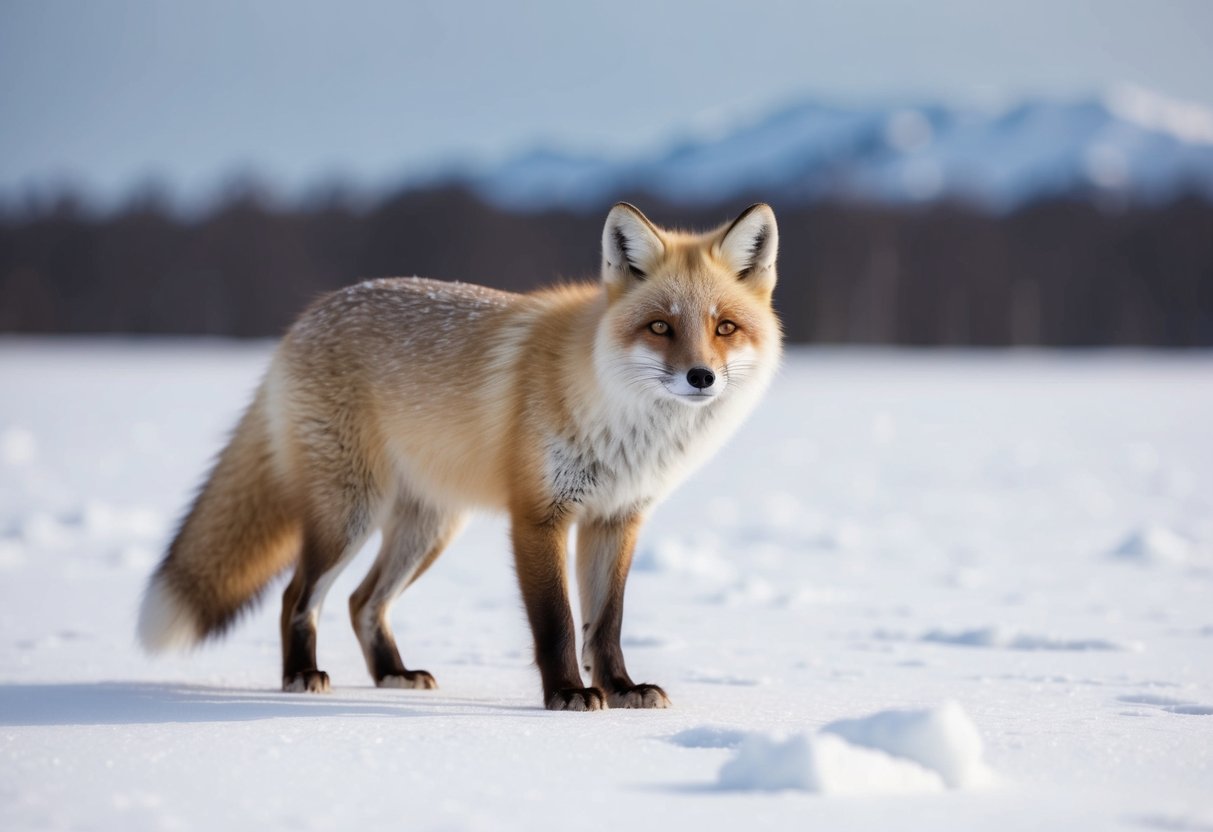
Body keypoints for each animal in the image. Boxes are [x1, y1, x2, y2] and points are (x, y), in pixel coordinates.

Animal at [137, 202, 782, 710]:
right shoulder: (538, 515)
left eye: (725, 327)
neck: (621, 423)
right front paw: (567, 694)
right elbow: (557, 622)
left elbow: (606, 624)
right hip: (349, 517)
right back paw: (301, 674)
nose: (702, 378)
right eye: (660, 327)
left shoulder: (616, 519)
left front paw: (621, 689)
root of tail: (307, 318)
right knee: (298, 596)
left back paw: (393, 675)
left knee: (361, 601)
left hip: (428, 528)